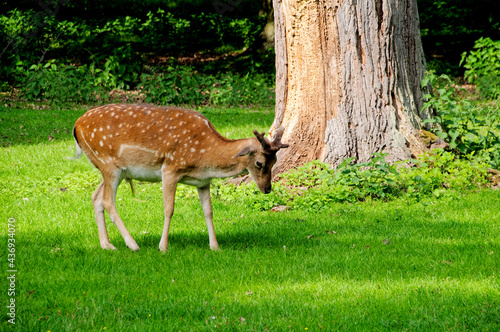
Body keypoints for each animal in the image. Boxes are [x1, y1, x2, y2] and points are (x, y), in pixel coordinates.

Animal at [72, 104, 288, 252]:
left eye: (275, 161)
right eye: (259, 163)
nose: (267, 188)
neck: (205, 159)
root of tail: (76, 126)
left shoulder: (203, 182)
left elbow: (208, 211)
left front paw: (215, 246)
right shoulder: (170, 169)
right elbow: (169, 209)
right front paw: (163, 246)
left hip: (110, 168)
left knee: (95, 196)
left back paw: (106, 244)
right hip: (108, 163)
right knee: (108, 200)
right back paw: (132, 244)